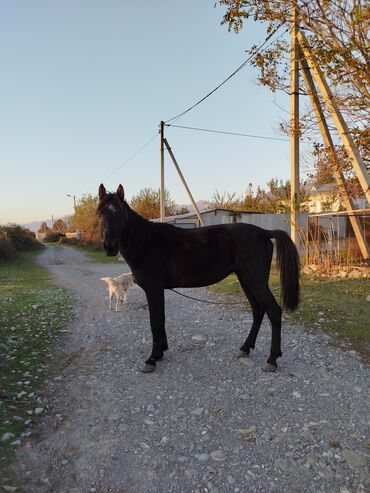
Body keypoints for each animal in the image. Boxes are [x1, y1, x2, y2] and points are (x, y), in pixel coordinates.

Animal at [97, 184, 300, 372]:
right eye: (100, 214)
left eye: (119, 214)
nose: (109, 246)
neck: (146, 243)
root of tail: (264, 232)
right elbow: (160, 320)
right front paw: (161, 352)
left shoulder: (154, 289)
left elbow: (156, 321)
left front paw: (152, 358)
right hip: (246, 281)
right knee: (258, 310)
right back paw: (245, 348)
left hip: (255, 282)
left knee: (274, 311)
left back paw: (272, 359)